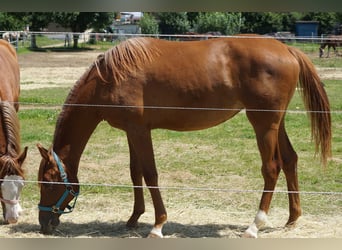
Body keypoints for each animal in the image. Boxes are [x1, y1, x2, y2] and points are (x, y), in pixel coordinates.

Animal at [36, 34, 330, 236]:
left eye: (48, 183)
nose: (44, 223)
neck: (109, 78)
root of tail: (287, 49)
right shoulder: (132, 131)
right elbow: (135, 173)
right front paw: (133, 219)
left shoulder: (140, 131)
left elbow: (150, 175)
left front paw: (158, 225)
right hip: (275, 124)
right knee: (290, 160)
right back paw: (292, 219)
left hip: (263, 124)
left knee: (271, 168)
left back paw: (254, 226)